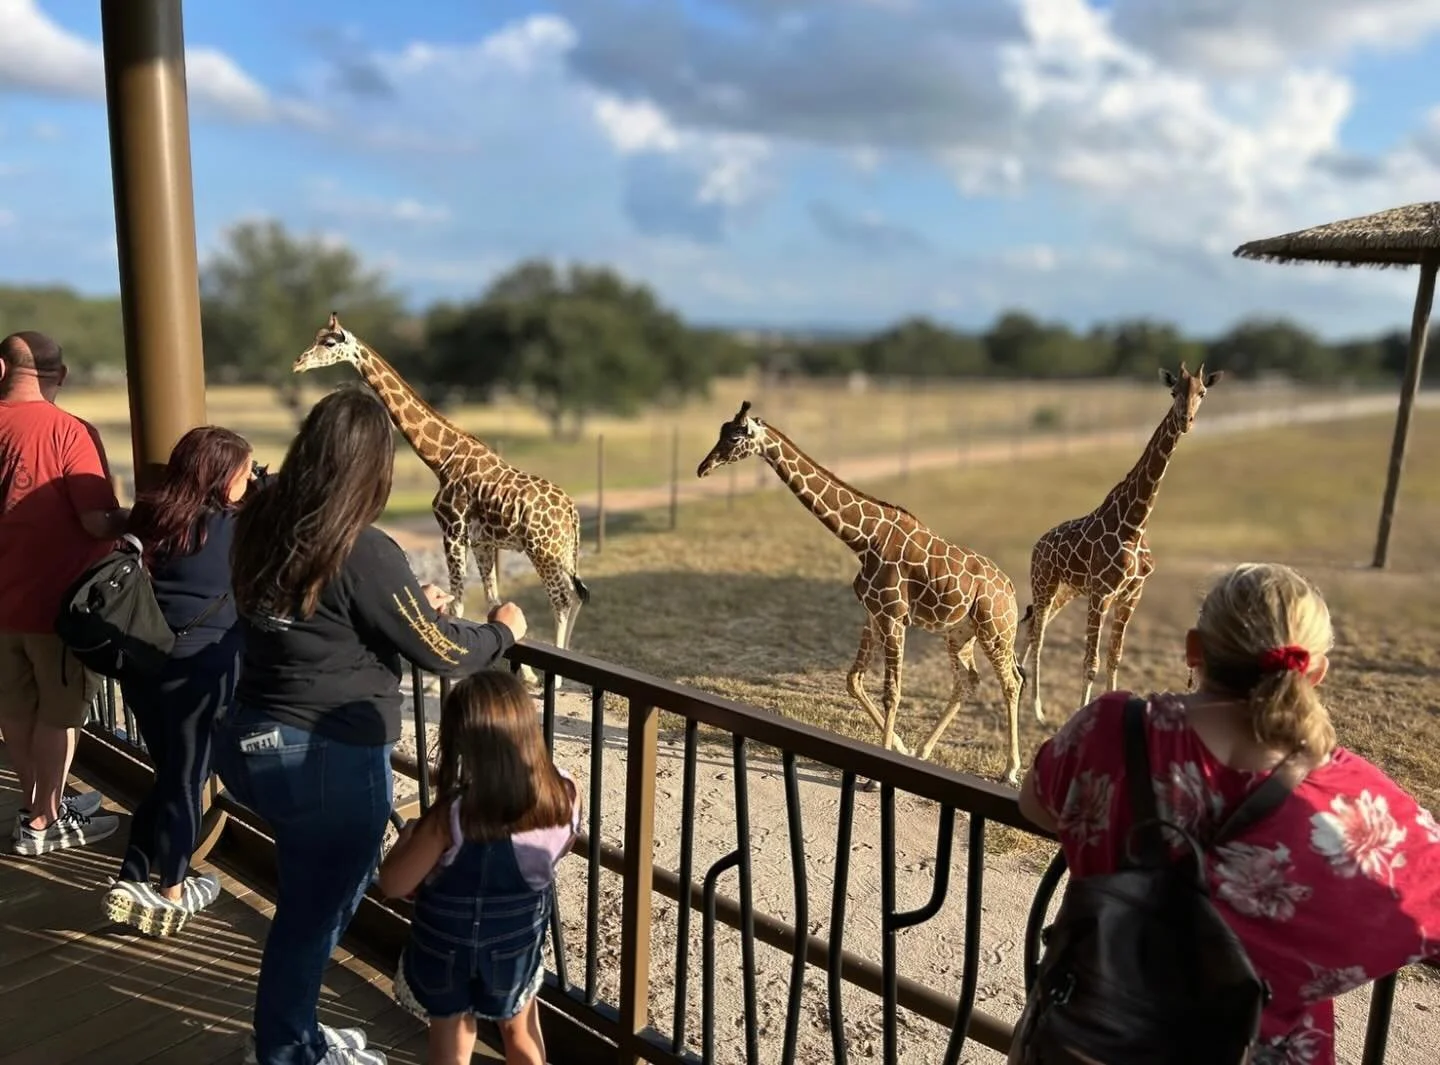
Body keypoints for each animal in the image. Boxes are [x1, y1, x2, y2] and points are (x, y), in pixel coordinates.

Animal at [294, 313, 590, 675]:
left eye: (329, 342)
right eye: (317, 337)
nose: (298, 363)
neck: (442, 458)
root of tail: (572, 512)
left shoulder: (452, 530)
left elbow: (457, 605)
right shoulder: (481, 541)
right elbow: (491, 602)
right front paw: (523, 672)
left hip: (543, 550)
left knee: (562, 599)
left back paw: (559, 676)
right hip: (562, 552)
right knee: (576, 596)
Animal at [698, 402, 1029, 785]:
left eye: (735, 437)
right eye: (721, 430)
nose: (703, 467)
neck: (864, 538)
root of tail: (1009, 588)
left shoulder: (894, 616)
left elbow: (891, 692)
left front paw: (876, 776)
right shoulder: (872, 614)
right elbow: (854, 680)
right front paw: (900, 747)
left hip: (996, 632)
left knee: (1011, 682)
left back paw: (1010, 771)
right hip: (960, 633)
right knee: (968, 681)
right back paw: (923, 751)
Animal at [1019, 362, 1223, 721]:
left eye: (1203, 392)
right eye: (1173, 391)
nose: (1185, 420)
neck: (1135, 524)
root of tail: (1038, 544)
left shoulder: (1131, 595)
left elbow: (1115, 658)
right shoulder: (1101, 593)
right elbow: (1090, 663)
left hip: (1067, 591)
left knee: (1033, 629)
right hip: (1044, 583)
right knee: (1039, 634)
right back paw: (1037, 710)